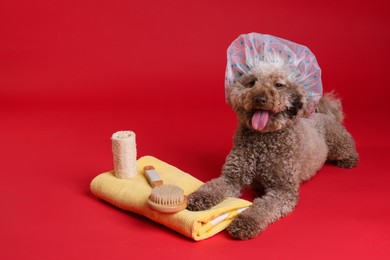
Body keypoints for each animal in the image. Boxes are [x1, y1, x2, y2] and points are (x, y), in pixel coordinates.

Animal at [187, 63, 358, 240]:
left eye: (279, 85)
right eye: (252, 83)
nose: (259, 98)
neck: (263, 141)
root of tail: (324, 114)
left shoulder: (283, 191)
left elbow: (263, 208)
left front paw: (246, 221)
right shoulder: (232, 178)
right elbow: (213, 186)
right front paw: (200, 197)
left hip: (337, 142)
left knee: (349, 149)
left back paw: (349, 160)